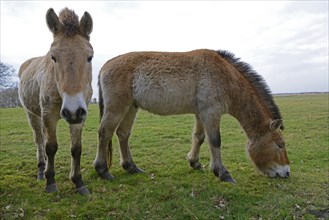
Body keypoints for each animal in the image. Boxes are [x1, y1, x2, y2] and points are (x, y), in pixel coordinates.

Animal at [18, 7, 93, 195]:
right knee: (39, 141)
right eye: (53, 57)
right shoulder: (48, 114)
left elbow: (76, 149)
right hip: (32, 115)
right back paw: (41, 171)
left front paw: (78, 182)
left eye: (90, 57)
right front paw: (50, 183)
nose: (72, 110)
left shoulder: (80, 116)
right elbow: (50, 147)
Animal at [94, 49, 290, 183]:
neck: (225, 77)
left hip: (131, 108)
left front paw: (194, 163)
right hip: (116, 108)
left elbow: (199, 137)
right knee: (105, 133)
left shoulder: (201, 113)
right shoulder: (211, 113)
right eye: (280, 145)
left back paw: (131, 167)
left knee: (122, 134)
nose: (287, 172)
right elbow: (215, 141)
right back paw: (102, 170)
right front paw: (222, 173)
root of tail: (105, 65)